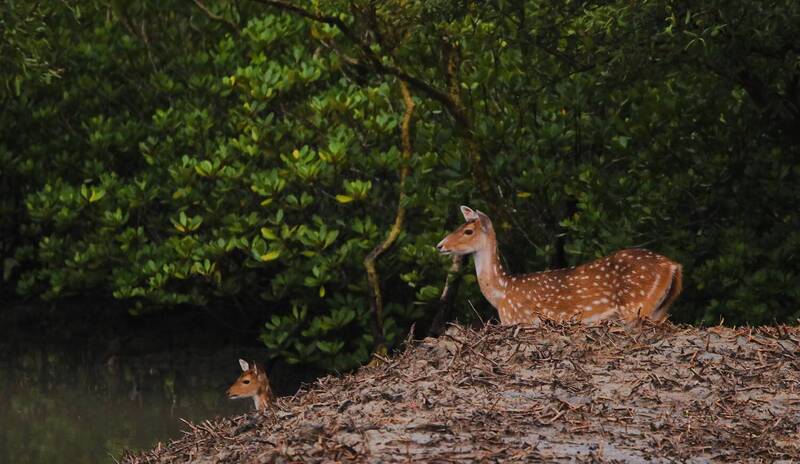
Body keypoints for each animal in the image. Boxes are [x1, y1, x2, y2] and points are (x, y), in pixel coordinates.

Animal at [436, 206, 682, 325]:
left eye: (468, 231)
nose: (440, 245)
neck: (501, 293)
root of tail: (672, 265)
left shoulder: (518, 319)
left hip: (635, 305)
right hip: (660, 308)